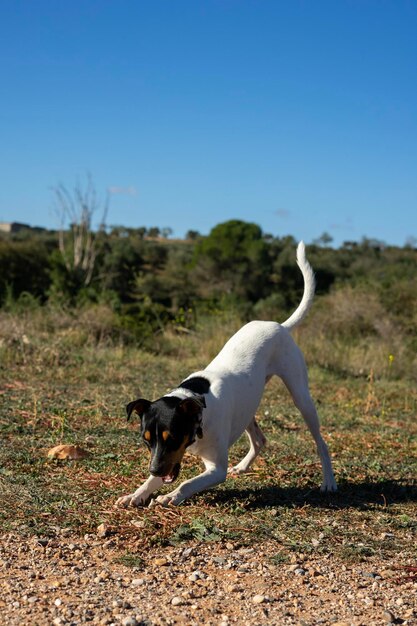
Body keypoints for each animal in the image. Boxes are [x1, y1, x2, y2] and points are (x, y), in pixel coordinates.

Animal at [115, 240, 336, 508]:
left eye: (173, 437)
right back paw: (242, 466)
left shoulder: (215, 469)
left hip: (301, 397)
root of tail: (279, 326)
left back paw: (329, 481)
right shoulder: (168, 459)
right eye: (146, 439)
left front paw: (170, 496)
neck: (198, 407)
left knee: (321, 443)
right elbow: (155, 481)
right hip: (248, 406)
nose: (155, 470)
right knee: (260, 439)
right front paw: (136, 493)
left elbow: (187, 483)